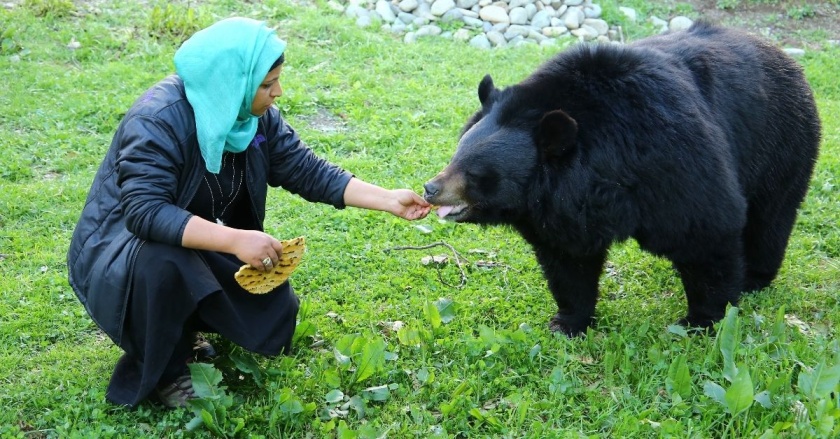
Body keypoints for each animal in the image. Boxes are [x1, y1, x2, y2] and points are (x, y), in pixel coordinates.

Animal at [424, 22, 816, 336]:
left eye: (476, 174)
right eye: (455, 155)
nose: (431, 189)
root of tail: (783, 56)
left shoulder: (675, 159)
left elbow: (707, 229)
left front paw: (701, 321)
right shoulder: (562, 210)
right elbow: (568, 261)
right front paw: (567, 322)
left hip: (781, 145)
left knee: (771, 216)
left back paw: (754, 277)